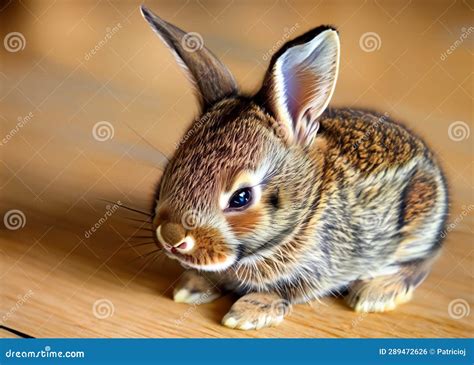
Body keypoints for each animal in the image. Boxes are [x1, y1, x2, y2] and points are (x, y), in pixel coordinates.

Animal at [140, 5, 448, 330]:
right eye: (170, 170)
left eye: (241, 198)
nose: (171, 237)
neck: (307, 211)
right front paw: (191, 286)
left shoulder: (316, 269)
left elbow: (284, 291)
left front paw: (246, 314)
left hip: (417, 226)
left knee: (420, 264)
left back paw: (375, 293)